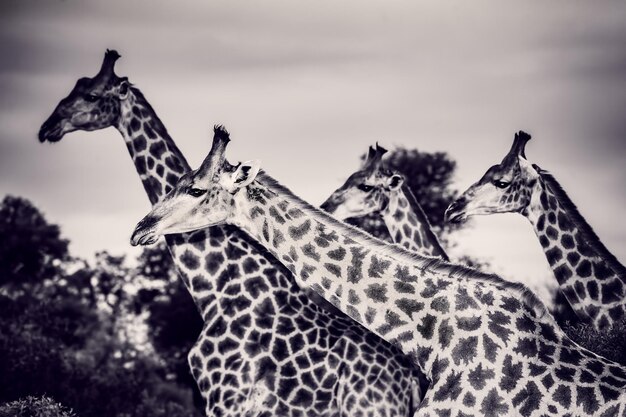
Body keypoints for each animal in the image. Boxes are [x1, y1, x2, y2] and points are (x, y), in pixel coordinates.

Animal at [39, 50, 424, 414]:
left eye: (91, 95)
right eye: (76, 86)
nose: (47, 127)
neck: (217, 292)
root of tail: (411, 380)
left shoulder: (225, 396)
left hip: (370, 407)